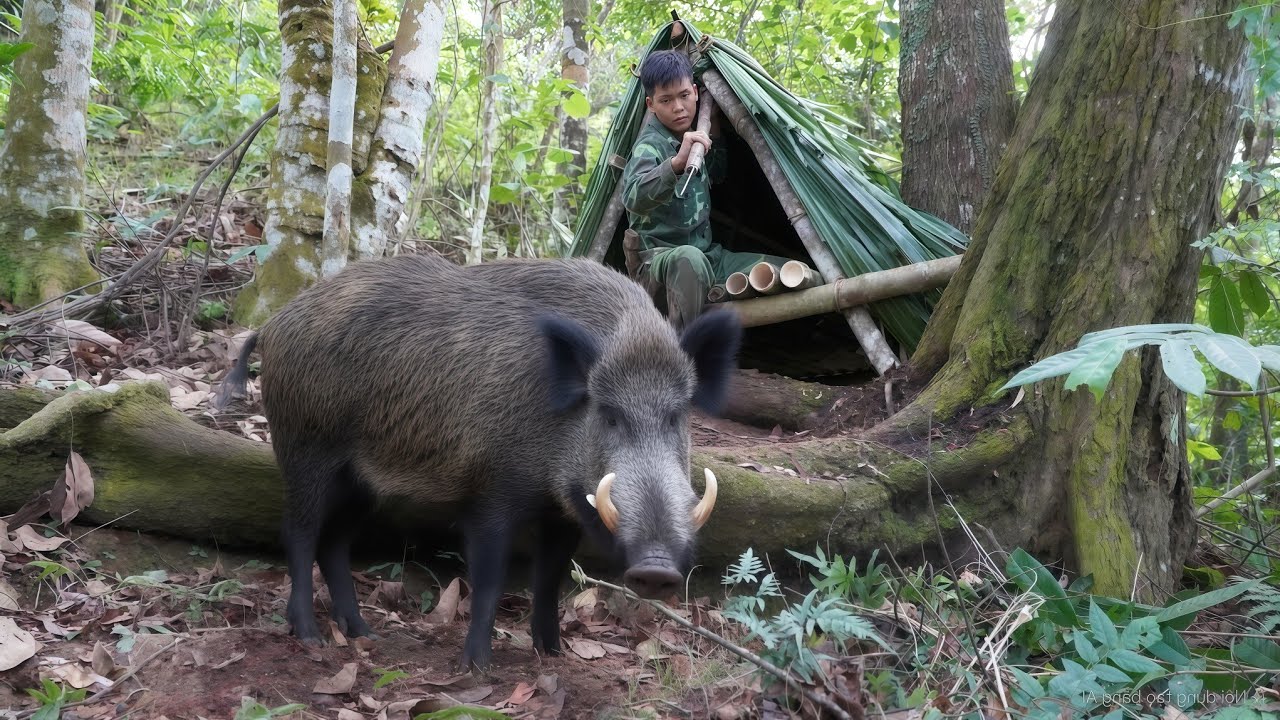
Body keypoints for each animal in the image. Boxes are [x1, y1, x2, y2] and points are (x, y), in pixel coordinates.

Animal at [216, 253, 741, 669]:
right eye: (608, 413)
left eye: (677, 415)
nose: (657, 569)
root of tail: (273, 325)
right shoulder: (491, 494)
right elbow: (489, 580)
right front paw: (477, 667)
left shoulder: (563, 514)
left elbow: (549, 579)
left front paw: (553, 655)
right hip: (304, 448)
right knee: (300, 533)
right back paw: (310, 636)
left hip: (362, 483)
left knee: (335, 542)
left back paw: (364, 633)